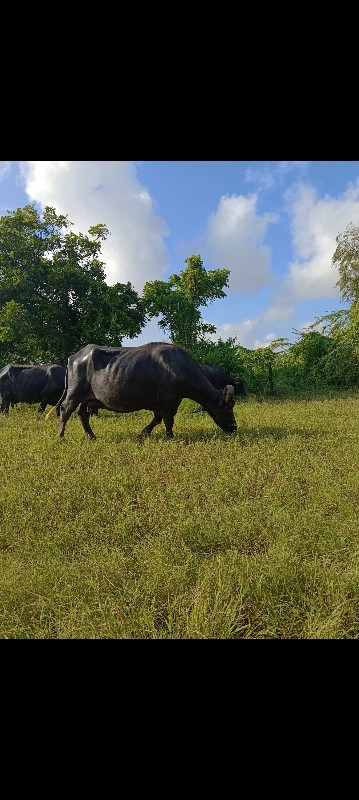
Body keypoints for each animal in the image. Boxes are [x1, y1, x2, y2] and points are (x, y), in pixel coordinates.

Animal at [46, 342, 238, 440]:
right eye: (229, 408)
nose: (234, 428)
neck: (179, 367)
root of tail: (75, 357)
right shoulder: (170, 399)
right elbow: (168, 420)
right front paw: (170, 437)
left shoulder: (164, 402)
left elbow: (158, 419)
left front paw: (144, 433)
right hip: (74, 393)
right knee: (65, 410)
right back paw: (60, 436)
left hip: (87, 399)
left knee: (83, 415)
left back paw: (91, 436)